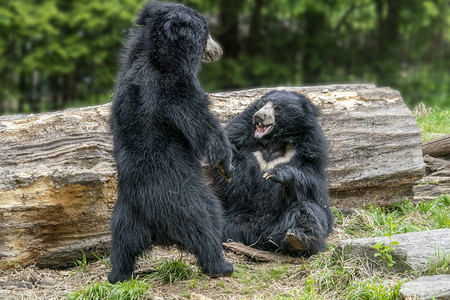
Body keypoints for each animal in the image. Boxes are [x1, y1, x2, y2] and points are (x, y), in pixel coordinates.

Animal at [212, 91, 334, 255]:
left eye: (277, 108)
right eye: (263, 103)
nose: (258, 116)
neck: (273, 142)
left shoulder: (311, 153)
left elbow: (312, 186)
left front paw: (276, 174)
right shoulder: (241, 139)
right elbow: (233, 186)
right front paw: (226, 166)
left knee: (306, 210)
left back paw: (298, 239)